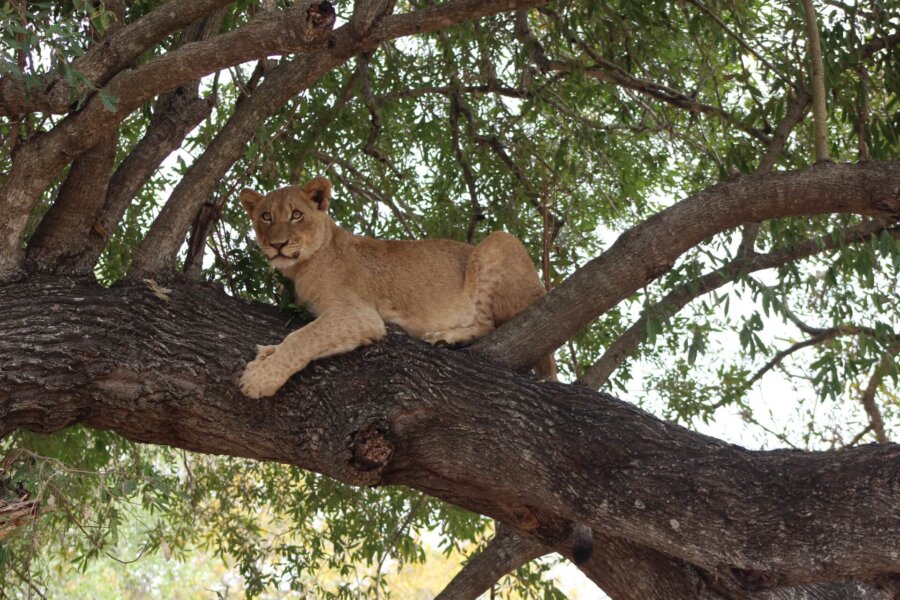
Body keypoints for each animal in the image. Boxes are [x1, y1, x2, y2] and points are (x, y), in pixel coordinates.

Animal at [238, 176, 557, 399]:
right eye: (266, 216)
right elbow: (308, 337)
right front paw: (267, 353)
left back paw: (446, 337)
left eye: (296, 215)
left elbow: (304, 337)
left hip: (499, 241)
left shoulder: (360, 315)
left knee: (489, 323)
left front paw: (259, 378)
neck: (304, 265)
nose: (277, 244)